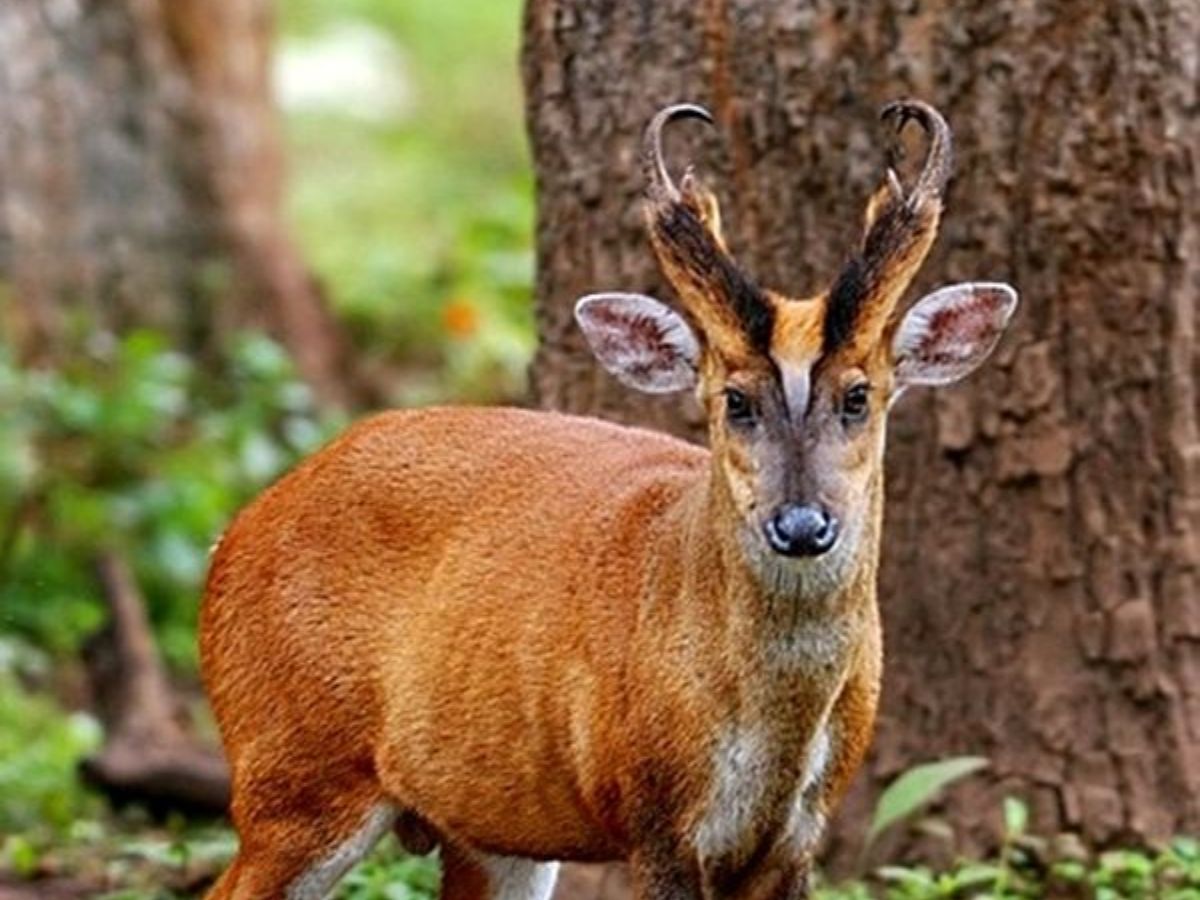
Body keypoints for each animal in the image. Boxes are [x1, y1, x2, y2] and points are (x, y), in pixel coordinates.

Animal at [199, 99, 1017, 900]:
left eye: (859, 396)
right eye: (734, 400)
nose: (802, 525)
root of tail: (233, 535)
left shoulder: (802, 832)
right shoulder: (652, 814)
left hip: (489, 824)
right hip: (294, 766)